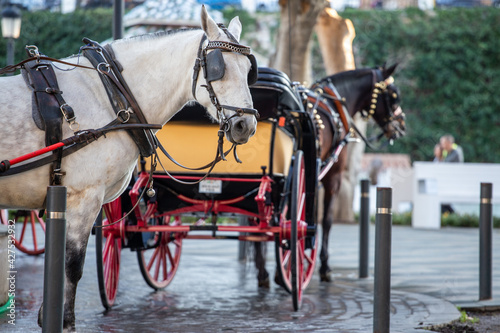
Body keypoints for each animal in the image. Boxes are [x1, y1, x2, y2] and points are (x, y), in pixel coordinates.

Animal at [0, 6, 258, 328]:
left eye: (249, 70)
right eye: (217, 67)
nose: (245, 125)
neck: (112, 95)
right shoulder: (83, 197)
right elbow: (72, 266)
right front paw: (65, 321)